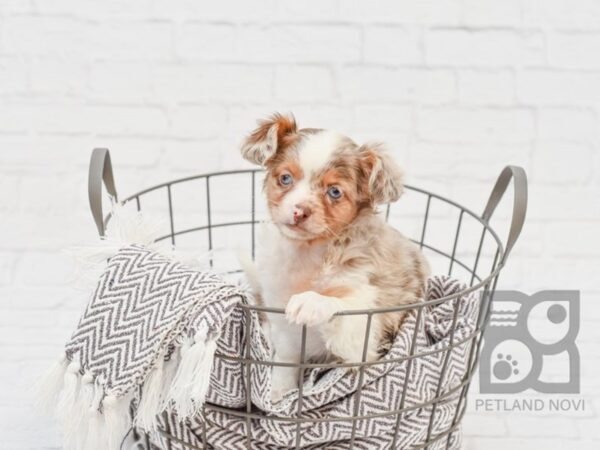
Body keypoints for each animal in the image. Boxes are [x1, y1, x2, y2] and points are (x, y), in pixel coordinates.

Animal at [241, 113, 428, 400]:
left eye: (335, 192)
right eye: (285, 178)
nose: (299, 212)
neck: (308, 252)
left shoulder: (362, 336)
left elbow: (339, 303)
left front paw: (311, 300)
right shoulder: (282, 321)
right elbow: (285, 360)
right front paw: (278, 393)